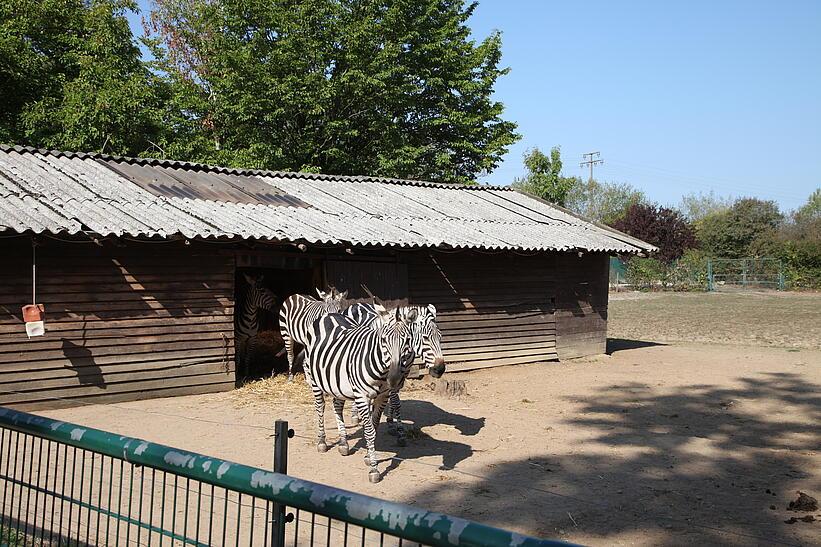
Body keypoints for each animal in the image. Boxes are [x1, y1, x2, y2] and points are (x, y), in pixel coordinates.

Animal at [302, 308, 416, 484]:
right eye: (384, 340)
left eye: (408, 341)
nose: (394, 379)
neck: (382, 372)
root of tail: (329, 314)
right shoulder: (362, 397)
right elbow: (369, 431)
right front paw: (374, 469)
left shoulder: (383, 396)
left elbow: (374, 428)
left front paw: (369, 457)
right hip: (314, 378)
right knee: (320, 407)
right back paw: (322, 441)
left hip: (337, 382)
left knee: (337, 406)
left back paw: (343, 443)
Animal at [342, 302, 446, 448]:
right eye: (425, 338)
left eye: (440, 337)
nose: (440, 369)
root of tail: (357, 303)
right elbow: (395, 402)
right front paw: (400, 433)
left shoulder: (400, 377)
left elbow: (394, 401)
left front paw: (391, 423)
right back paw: (356, 416)